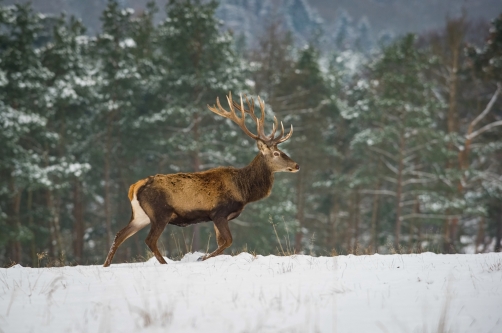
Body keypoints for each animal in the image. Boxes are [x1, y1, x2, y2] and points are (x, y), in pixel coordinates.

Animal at [102, 92, 298, 266]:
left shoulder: (219, 217)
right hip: (160, 212)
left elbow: (221, 242)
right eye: (276, 153)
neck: (243, 190)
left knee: (119, 235)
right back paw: (164, 263)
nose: (296, 165)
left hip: (141, 215)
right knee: (149, 240)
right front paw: (201, 258)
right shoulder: (219, 212)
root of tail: (135, 186)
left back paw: (106, 265)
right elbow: (227, 241)